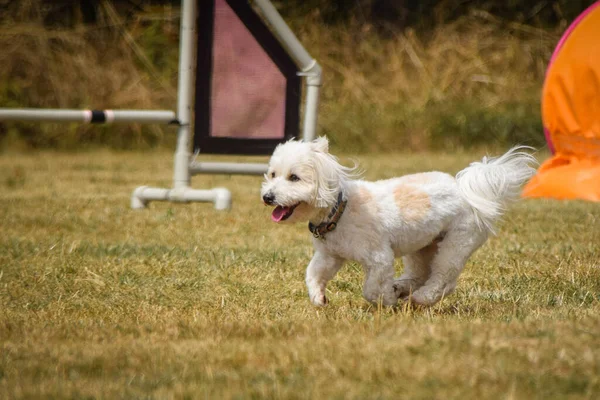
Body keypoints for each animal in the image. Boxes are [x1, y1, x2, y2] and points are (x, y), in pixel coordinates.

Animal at [260, 138, 536, 306]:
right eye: (272, 174)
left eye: (294, 178)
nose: (267, 197)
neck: (340, 210)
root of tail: (466, 190)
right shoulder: (329, 255)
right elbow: (314, 274)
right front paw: (319, 298)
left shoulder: (379, 257)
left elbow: (372, 288)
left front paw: (387, 300)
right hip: (423, 246)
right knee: (421, 274)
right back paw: (403, 288)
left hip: (457, 242)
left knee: (443, 279)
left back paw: (420, 297)